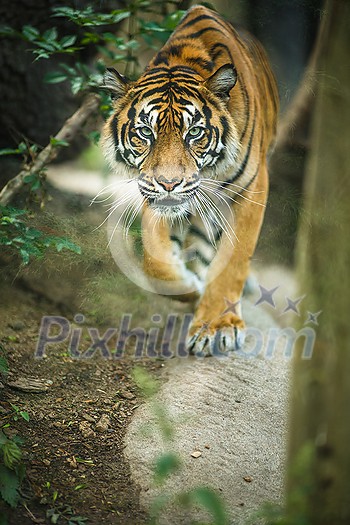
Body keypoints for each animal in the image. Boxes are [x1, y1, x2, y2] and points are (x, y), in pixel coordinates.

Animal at [101, 4, 278, 356]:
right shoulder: (156, 196)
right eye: (146, 132)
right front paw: (193, 289)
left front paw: (217, 326)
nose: (169, 183)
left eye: (194, 132)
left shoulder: (251, 188)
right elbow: (156, 263)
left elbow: (234, 261)